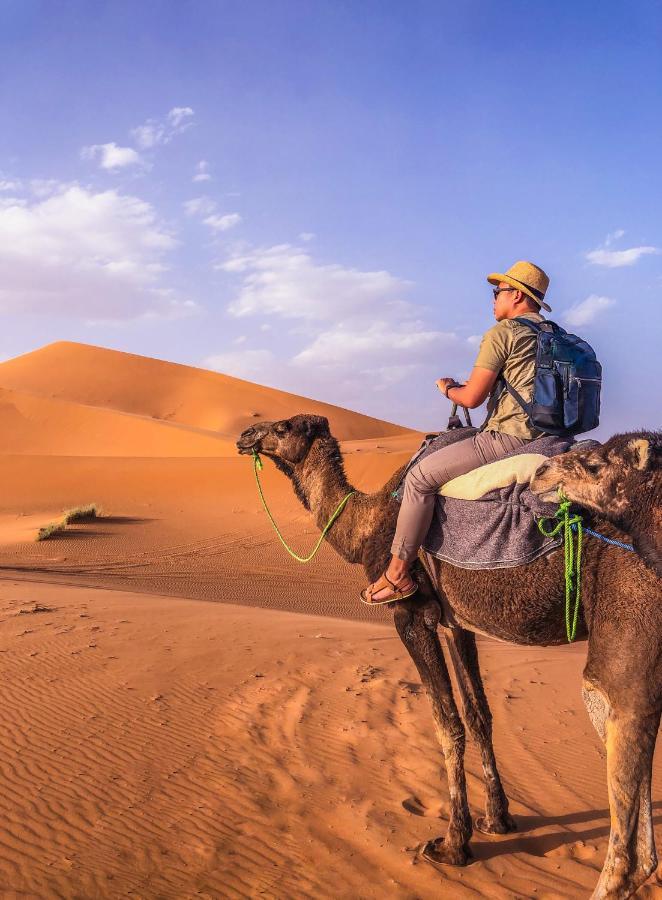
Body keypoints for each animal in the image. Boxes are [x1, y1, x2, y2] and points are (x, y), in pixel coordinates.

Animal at [236, 418, 660, 896]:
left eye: (283, 427)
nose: (246, 435)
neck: (366, 523)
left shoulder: (411, 614)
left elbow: (447, 722)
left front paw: (454, 843)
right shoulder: (458, 624)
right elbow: (479, 715)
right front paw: (498, 819)